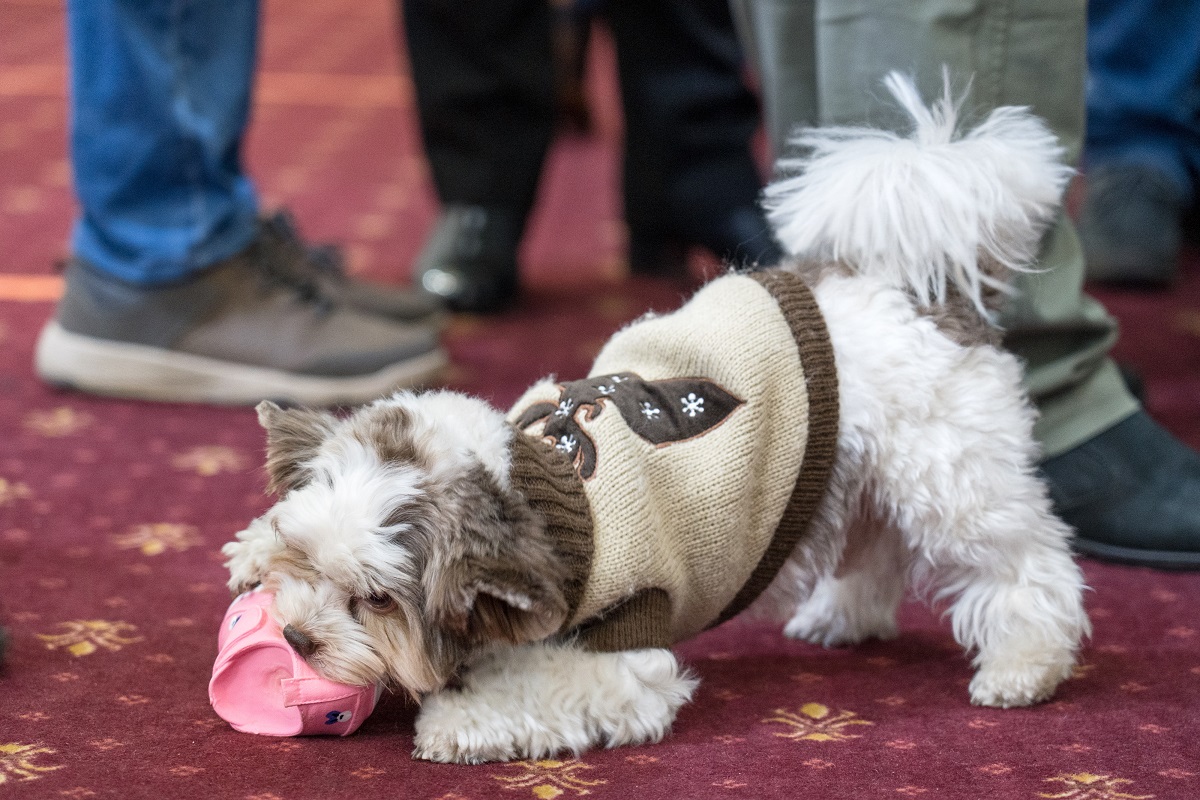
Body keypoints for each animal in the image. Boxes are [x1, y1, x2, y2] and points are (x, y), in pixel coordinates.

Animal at [223, 73, 1089, 762]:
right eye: (301, 559)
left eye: (375, 600)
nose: (295, 638)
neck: (553, 494)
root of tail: (908, 285)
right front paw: (250, 549)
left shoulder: (626, 649)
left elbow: (545, 691)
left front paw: (456, 723)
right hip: (862, 472)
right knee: (881, 544)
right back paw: (846, 616)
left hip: (954, 474)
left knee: (1025, 564)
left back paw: (1025, 665)